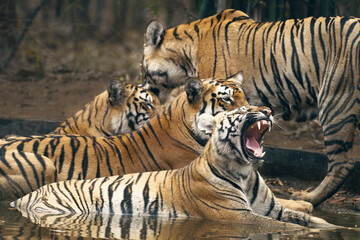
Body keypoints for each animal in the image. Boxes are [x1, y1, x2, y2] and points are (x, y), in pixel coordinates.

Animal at [10, 106, 338, 230]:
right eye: (245, 110)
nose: (268, 111)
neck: (245, 172)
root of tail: (29, 195)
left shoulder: (273, 208)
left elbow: (309, 219)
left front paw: (335, 228)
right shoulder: (238, 216)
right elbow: (287, 226)